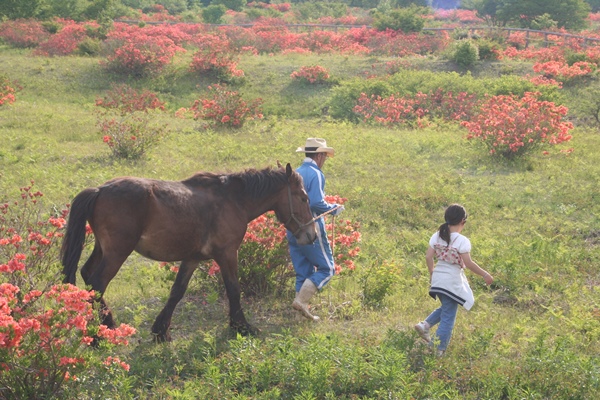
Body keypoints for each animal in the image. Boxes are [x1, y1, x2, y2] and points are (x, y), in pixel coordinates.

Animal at [61, 162, 316, 340]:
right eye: (304, 198)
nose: (311, 235)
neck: (233, 200)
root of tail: (100, 189)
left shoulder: (192, 259)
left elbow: (177, 292)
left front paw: (161, 331)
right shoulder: (227, 254)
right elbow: (234, 290)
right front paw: (241, 326)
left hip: (102, 249)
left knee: (87, 275)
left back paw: (108, 325)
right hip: (117, 253)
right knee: (97, 283)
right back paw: (97, 335)